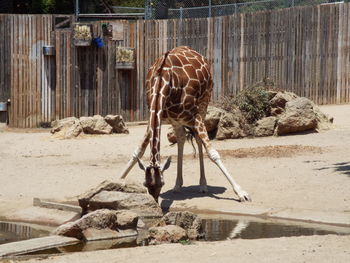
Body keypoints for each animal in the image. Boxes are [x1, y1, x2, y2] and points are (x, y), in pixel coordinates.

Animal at [120, 47, 252, 204]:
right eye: (145, 184)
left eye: (162, 183)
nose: (155, 201)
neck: (163, 79)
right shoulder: (158, 116)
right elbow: (138, 151)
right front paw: (119, 181)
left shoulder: (194, 117)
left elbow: (213, 153)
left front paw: (241, 193)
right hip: (177, 119)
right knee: (181, 138)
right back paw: (178, 185)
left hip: (203, 104)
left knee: (198, 139)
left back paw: (203, 185)